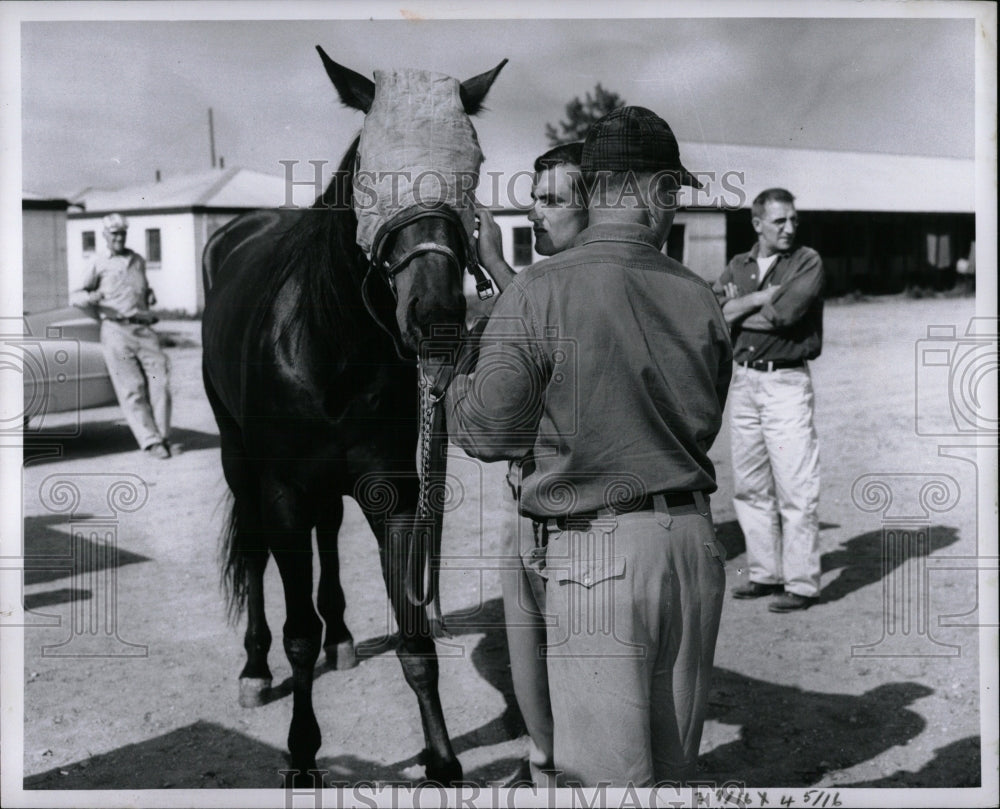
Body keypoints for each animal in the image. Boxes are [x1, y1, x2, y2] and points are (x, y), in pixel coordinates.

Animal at [200, 50, 504, 784]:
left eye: (471, 171)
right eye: (369, 173)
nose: (437, 319)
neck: (329, 342)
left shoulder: (393, 488)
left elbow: (415, 634)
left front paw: (442, 760)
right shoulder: (281, 489)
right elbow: (296, 633)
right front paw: (304, 754)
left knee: (330, 532)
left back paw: (341, 638)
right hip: (237, 461)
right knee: (256, 555)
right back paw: (255, 669)